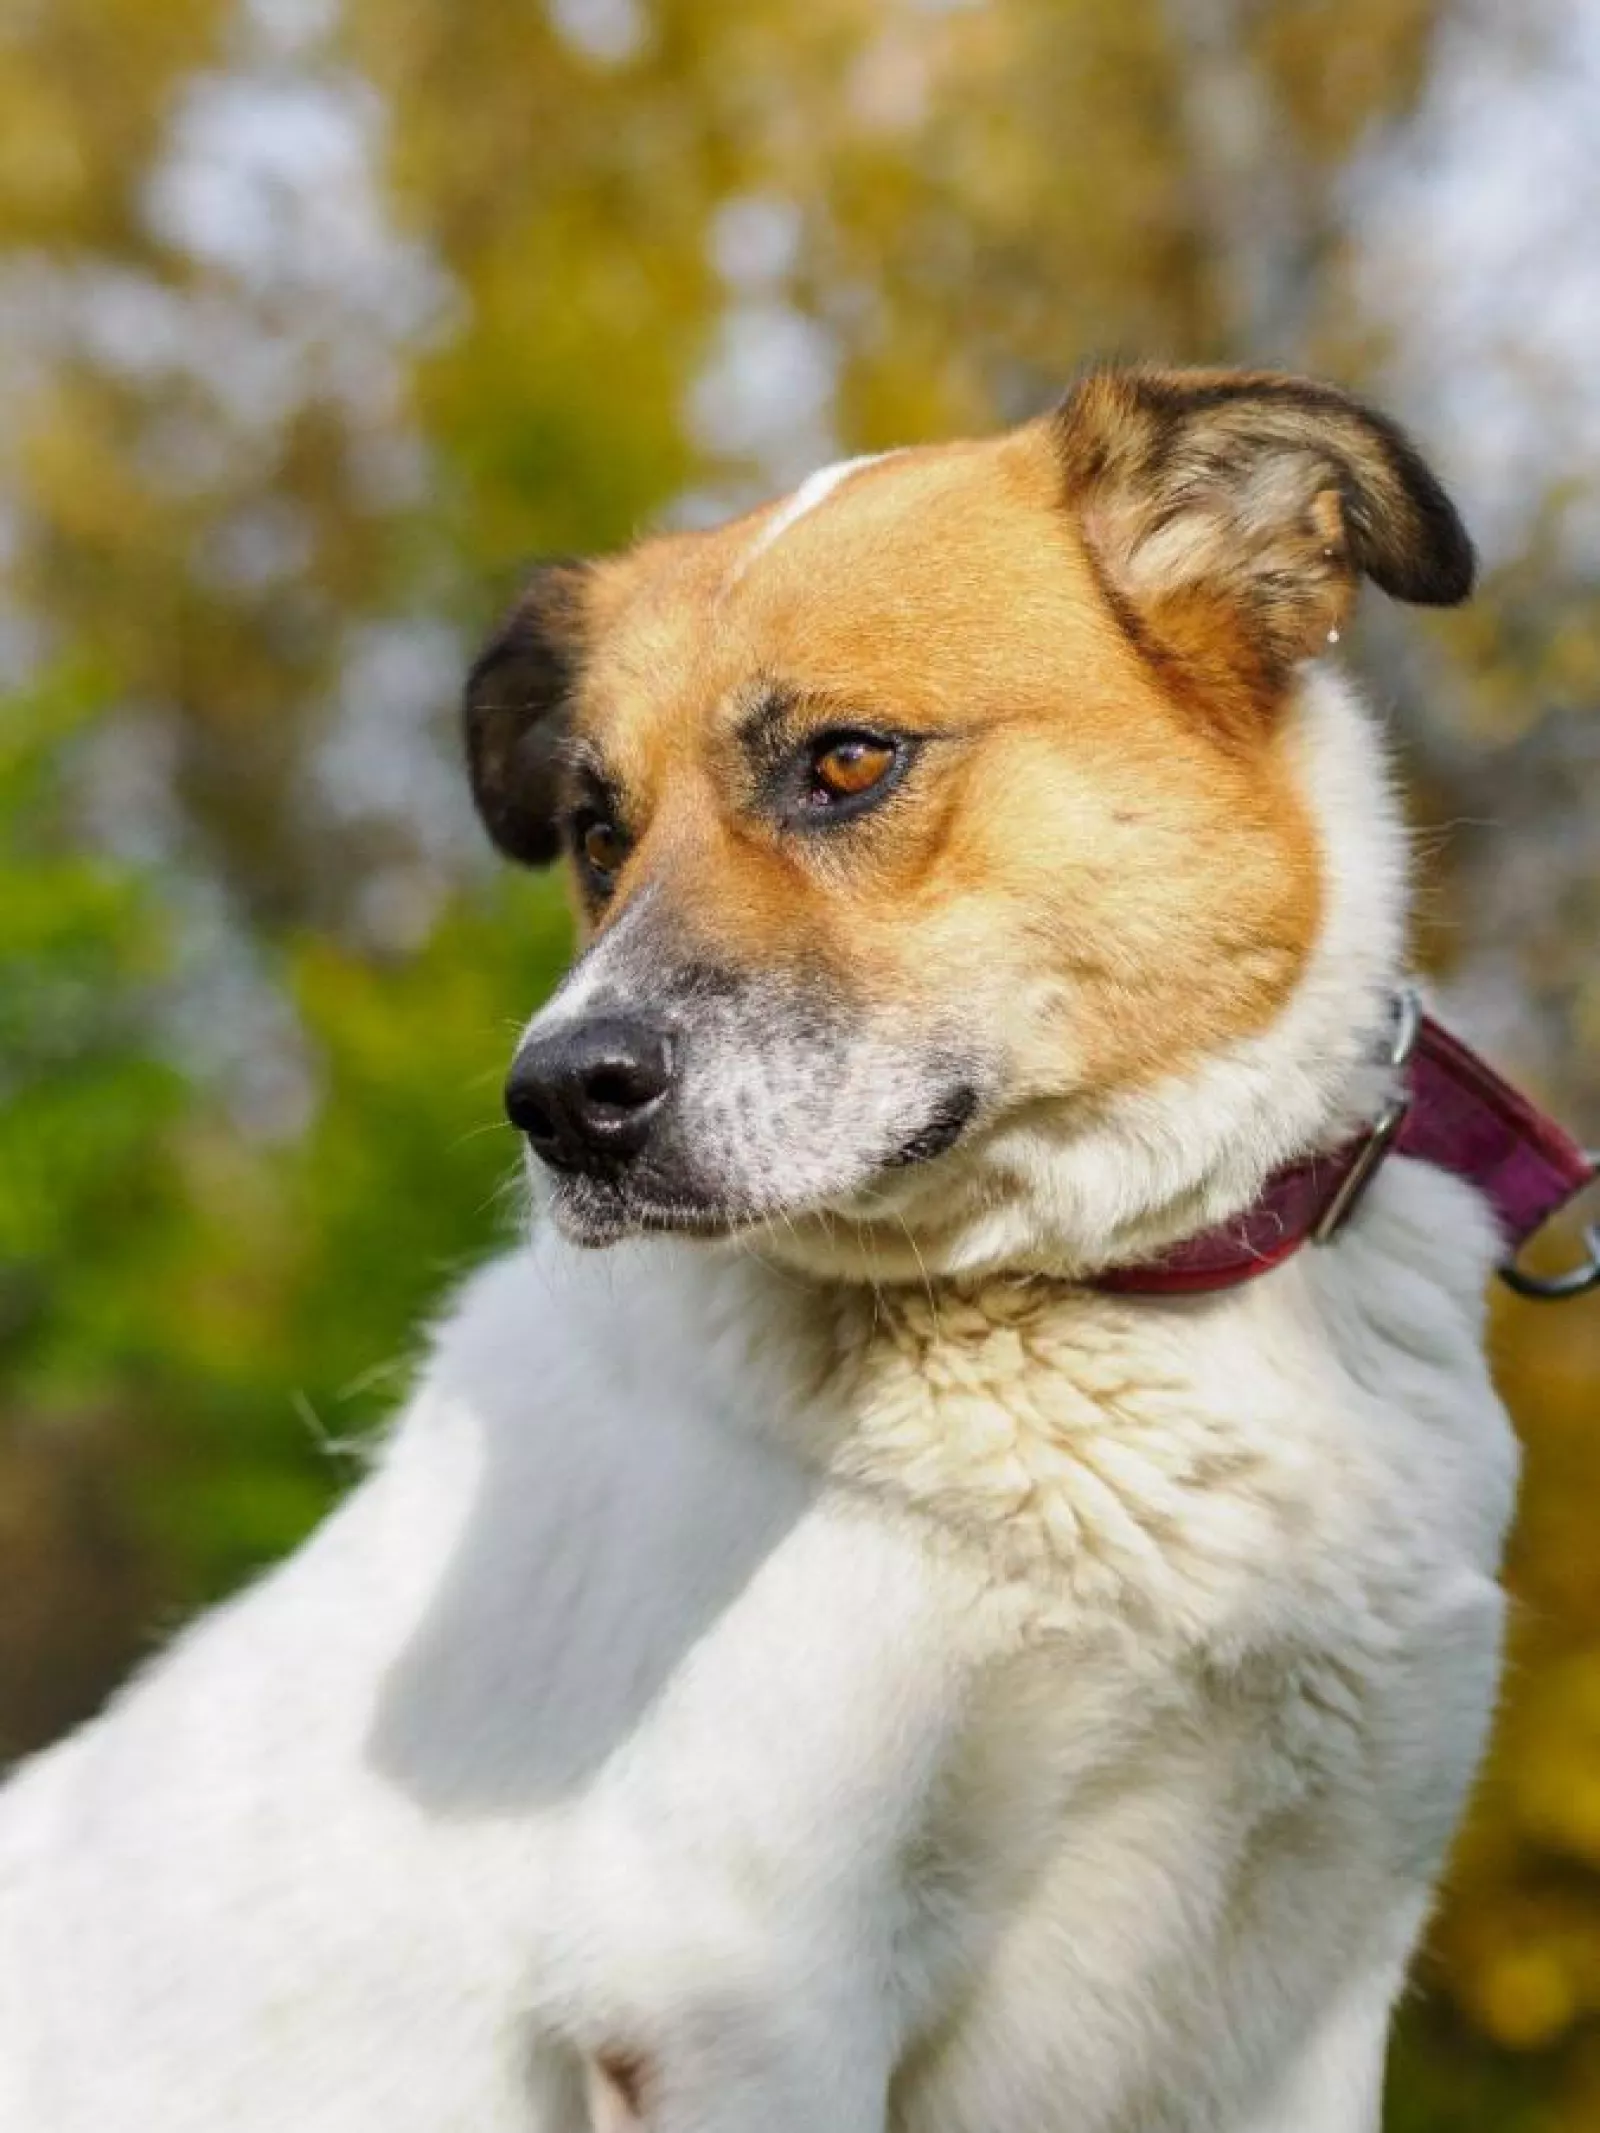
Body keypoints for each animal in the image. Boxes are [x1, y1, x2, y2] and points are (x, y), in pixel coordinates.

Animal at [1, 367, 1538, 2132]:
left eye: (849, 761)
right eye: (595, 829)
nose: (555, 1103)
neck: (1110, 1297)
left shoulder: (1312, 1970)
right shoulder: (736, 1983)